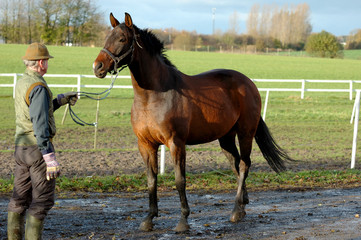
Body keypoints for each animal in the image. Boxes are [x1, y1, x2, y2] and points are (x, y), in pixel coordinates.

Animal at [93, 12, 292, 232]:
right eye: (106, 37)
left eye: (122, 39)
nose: (97, 67)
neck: (154, 95)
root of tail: (249, 83)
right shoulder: (145, 144)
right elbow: (151, 180)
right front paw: (149, 218)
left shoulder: (176, 144)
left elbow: (180, 180)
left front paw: (183, 220)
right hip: (226, 138)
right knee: (236, 164)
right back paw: (242, 205)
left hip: (245, 133)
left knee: (244, 164)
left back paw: (236, 211)